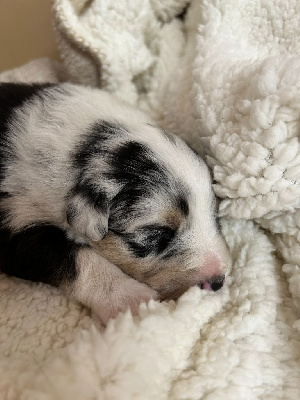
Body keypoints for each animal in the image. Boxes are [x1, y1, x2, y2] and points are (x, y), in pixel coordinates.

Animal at [0, 83, 231, 324]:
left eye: (214, 216)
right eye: (157, 233)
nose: (218, 281)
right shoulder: (14, 220)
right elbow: (75, 258)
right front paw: (136, 302)